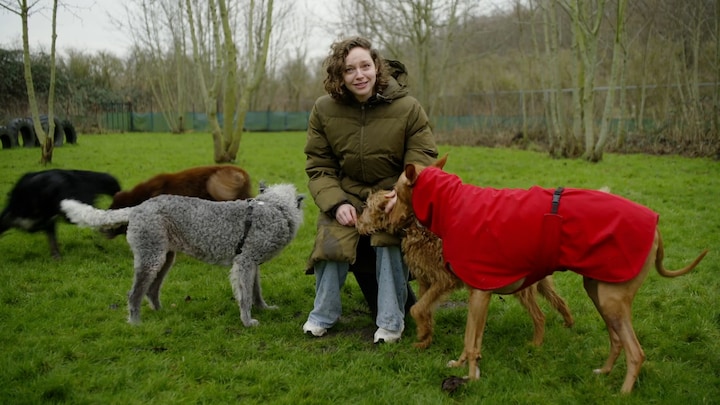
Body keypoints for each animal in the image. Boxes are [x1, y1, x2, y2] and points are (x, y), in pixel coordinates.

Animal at [358, 191, 572, 348]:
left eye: (367, 206)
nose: (356, 223)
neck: (414, 226)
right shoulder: (426, 280)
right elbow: (424, 310)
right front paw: (425, 338)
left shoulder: (444, 280)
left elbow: (417, 308)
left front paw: (423, 335)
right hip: (540, 283)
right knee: (560, 301)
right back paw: (569, 326)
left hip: (522, 289)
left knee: (540, 316)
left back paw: (535, 345)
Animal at [388, 154, 708, 392]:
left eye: (395, 190)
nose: (390, 221)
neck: (452, 203)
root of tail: (655, 225)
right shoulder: (481, 293)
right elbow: (473, 343)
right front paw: (463, 366)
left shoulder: (479, 291)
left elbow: (469, 340)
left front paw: (468, 377)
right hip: (599, 293)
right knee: (617, 340)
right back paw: (603, 372)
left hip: (611, 300)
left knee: (636, 352)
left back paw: (624, 393)